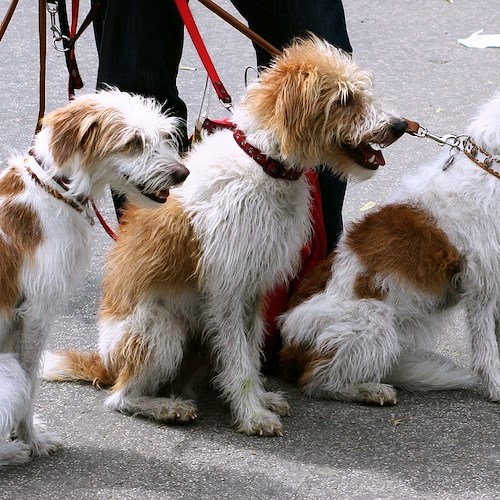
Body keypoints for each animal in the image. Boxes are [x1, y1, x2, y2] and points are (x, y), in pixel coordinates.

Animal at [0, 89, 188, 464]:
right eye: (133, 142)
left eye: (164, 136)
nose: (182, 173)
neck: (53, 189)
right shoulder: (36, 314)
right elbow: (30, 383)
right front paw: (31, 440)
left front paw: (26, 434)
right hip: (6, 372)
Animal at [43, 37, 408, 436]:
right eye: (344, 99)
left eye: (363, 91)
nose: (399, 125)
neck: (264, 164)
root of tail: (106, 361)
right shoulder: (227, 291)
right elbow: (239, 359)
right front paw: (252, 414)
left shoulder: (256, 289)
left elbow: (249, 351)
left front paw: (261, 400)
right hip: (162, 328)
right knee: (120, 397)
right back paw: (166, 407)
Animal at [280, 91, 500, 406]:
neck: (490, 169)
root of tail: (286, 349)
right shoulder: (482, 286)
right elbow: (487, 347)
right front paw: (496, 386)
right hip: (374, 317)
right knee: (317, 382)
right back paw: (369, 390)